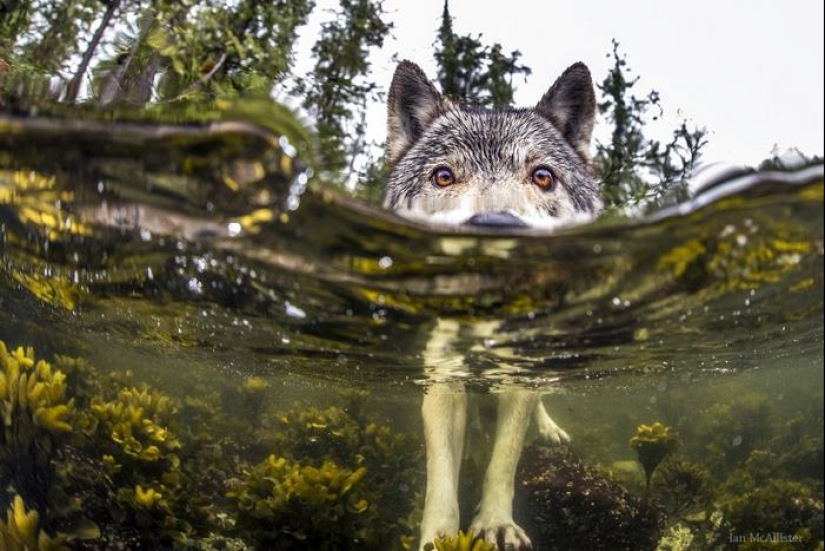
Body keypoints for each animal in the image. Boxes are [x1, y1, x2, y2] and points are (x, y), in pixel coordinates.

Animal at [383, 60, 601, 550]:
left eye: (543, 176)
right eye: (443, 176)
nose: (496, 227)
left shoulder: (517, 379)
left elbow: (504, 460)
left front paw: (496, 525)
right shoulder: (443, 380)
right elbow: (441, 476)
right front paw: (439, 537)